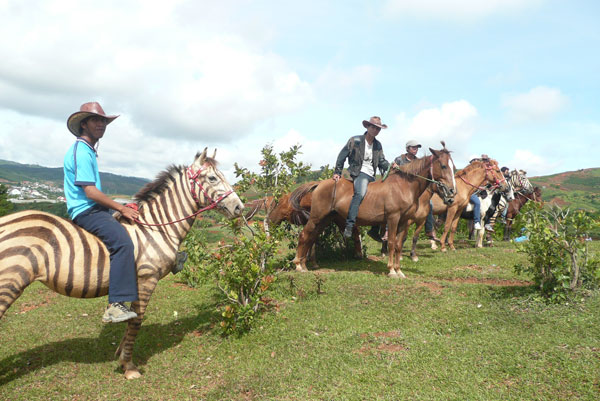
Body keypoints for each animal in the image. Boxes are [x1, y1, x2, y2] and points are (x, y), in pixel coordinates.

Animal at [0, 149, 244, 378]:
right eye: (212, 178)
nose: (240, 208)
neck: (155, 228)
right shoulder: (147, 278)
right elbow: (137, 319)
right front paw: (128, 365)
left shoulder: (132, 280)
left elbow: (130, 318)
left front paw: (120, 353)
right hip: (9, 282)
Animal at [292, 144, 454, 278]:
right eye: (443, 166)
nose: (452, 192)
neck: (403, 187)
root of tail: (319, 184)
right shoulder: (393, 219)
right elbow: (391, 243)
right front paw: (391, 270)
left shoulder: (404, 221)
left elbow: (399, 245)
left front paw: (399, 270)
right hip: (316, 217)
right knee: (304, 235)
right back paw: (298, 265)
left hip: (325, 219)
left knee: (311, 237)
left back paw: (305, 265)